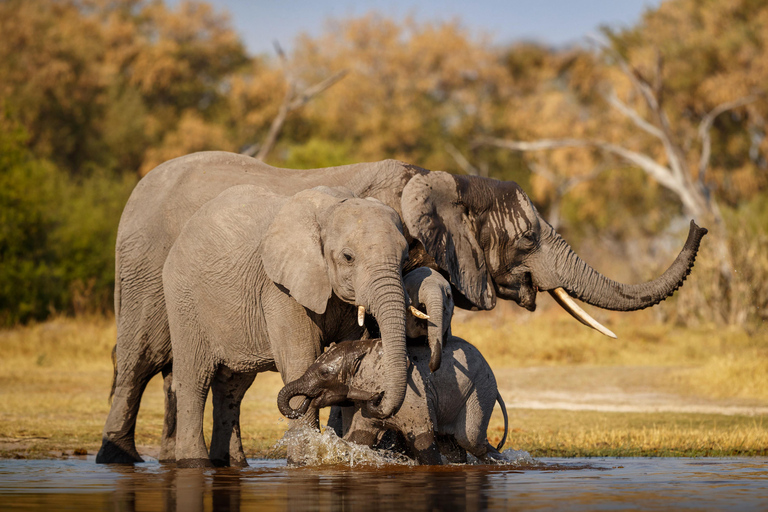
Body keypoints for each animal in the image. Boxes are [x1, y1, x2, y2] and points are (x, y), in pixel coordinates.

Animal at [164, 185, 412, 468]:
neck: (329, 210)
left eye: (405, 259)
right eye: (348, 257)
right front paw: (304, 462)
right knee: (194, 379)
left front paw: (350, 454)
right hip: (184, 300)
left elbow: (352, 356)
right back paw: (195, 463)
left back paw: (233, 464)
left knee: (232, 387)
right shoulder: (280, 289)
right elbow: (300, 359)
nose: (378, 398)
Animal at [278, 336, 510, 464]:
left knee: (469, 439)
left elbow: (423, 440)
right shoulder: (364, 407)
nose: (308, 400)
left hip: (481, 389)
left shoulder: (413, 395)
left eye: (324, 373)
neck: (364, 348)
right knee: (453, 445)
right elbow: (359, 439)